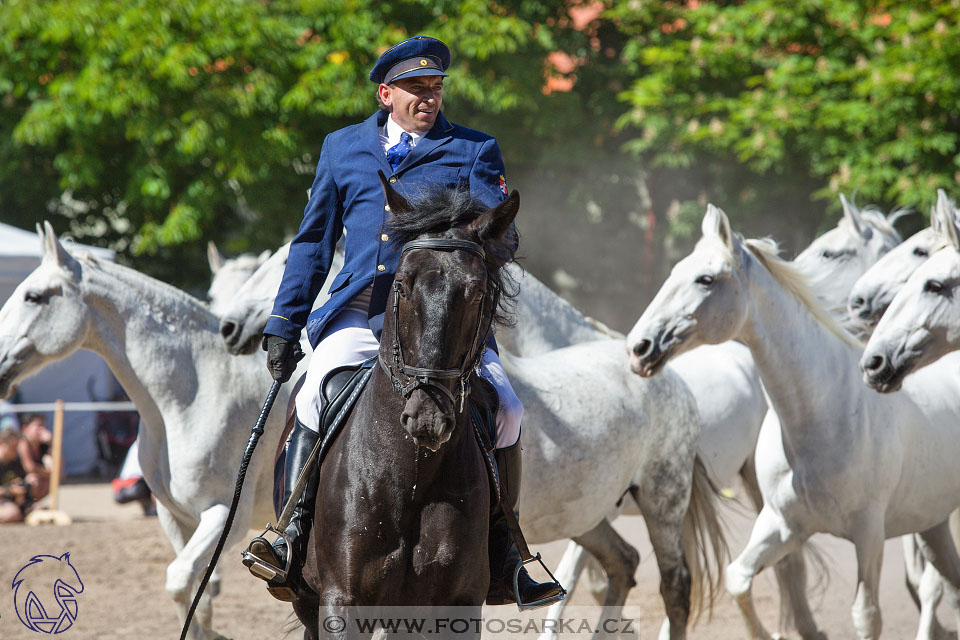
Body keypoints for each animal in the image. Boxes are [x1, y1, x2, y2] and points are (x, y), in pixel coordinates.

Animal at [0, 222, 286, 636]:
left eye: (33, 297)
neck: (195, 393)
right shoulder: (176, 517)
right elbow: (200, 592)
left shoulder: (224, 517)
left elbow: (180, 580)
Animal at [632, 206, 960, 640]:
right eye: (675, 272)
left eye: (705, 279)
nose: (639, 347)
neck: (823, 416)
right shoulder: (782, 524)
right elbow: (738, 579)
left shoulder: (869, 534)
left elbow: (866, 615)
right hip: (933, 524)